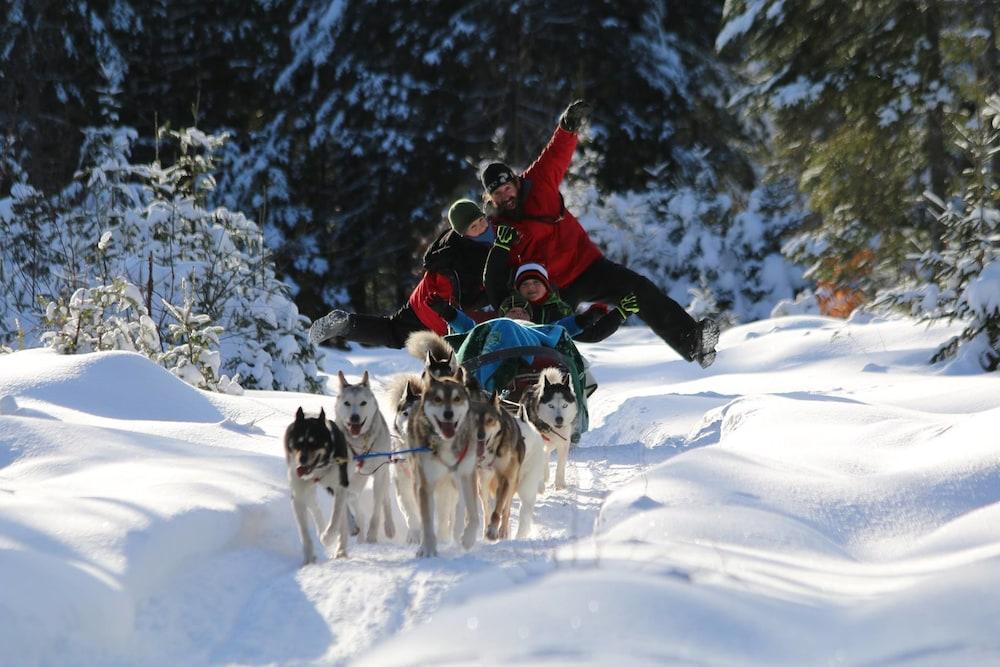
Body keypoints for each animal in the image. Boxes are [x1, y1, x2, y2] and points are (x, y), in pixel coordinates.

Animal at [286, 408, 352, 564]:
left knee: (341, 518)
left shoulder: (341, 488)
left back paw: (340, 548)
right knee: (314, 506)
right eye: (297, 443)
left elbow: (335, 519)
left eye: (314, 443)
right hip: (307, 490)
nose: (302, 459)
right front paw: (309, 558)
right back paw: (322, 529)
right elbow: (303, 532)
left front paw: (327, 539)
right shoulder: (297, 495)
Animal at [338, 368, 396, 544]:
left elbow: (376, 509)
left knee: (385, 500)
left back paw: (389, 527)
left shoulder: (379, 474)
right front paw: (352, 526)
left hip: (384, 475)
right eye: (347, 403)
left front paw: (372, 535)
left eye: (363, 403)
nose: (354, 417)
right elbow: (345, 505)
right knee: (354, 501)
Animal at [410, 368, 480, 556]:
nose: (448, 414)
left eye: (457, 399)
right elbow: (427, 521)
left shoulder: (467, 475)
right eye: (438, 399)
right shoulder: (426, 485)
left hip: (457, 481)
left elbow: (474, 513)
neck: (446, 441)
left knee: (460, 506)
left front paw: (468, 538)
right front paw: (428, 548)